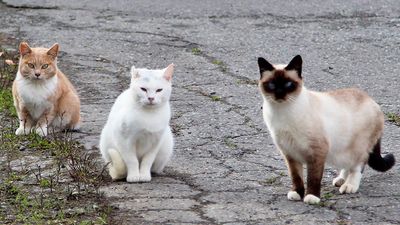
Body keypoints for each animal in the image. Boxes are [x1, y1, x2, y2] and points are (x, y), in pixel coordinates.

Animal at [258, 55, 396, 205]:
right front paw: (297, 193)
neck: (281, 112)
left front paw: (312, 197)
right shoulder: (290, 153)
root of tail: (374, 102)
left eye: (288, 84)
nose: (279, 94)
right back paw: (340, 180)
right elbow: (296, 177)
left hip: (357, 149)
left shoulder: (317, 151)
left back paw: (349, 186)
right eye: (272, 85)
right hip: (342, 151)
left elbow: (313, 177)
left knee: (358, 166)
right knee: (348, 165)